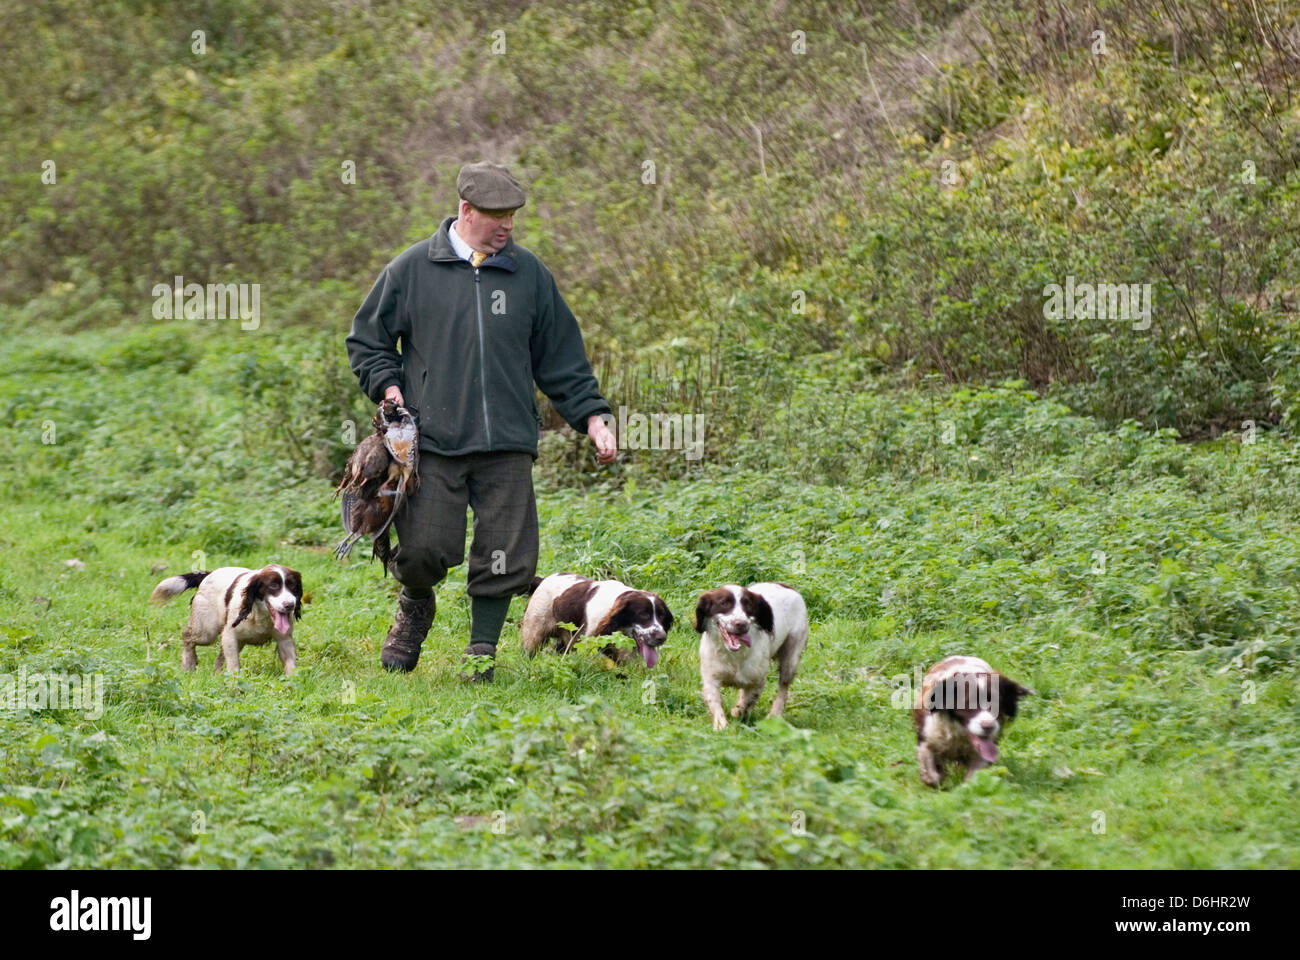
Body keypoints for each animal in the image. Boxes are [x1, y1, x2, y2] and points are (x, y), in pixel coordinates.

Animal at [696, 580, 806, 728]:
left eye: (748, 604)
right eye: (724, 603)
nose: (741, 624)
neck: (734, 656)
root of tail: (785, 585)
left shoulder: (757, 681)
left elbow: (747, 702)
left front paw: (737, 711)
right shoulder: (711, 678)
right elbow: (715, 702)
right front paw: (721, 725)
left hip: (791, 656)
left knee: (783, 688)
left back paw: (774, 714)